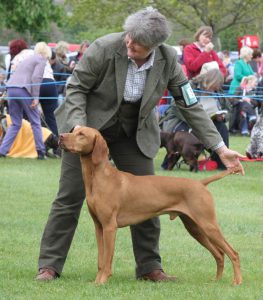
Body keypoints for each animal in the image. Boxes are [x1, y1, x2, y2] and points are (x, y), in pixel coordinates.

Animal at [59, 126, 243, 286]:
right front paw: (96, 282)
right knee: (219, 254)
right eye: (73, 130)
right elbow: (100, 260)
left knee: (233, 253)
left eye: (81, 134)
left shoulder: (110, 227)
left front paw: (103, 281)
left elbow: (106, 261)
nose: (60, 136)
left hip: (208, 225)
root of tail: (200, 183)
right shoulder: (99, 227)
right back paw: (217, 280)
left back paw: (237, 281)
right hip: (195, 228)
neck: (98, 178)